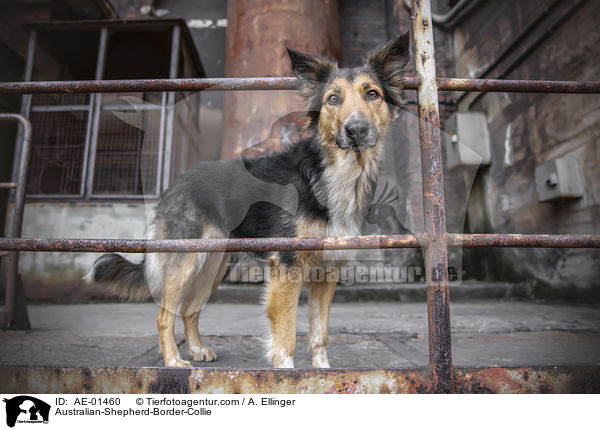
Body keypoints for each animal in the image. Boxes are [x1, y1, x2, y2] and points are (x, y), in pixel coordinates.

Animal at [91, 33, 410, 368]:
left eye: (372, 94)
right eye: (333, 99)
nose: (356, 130)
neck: (334, 172)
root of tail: (176, 182)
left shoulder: (328, 271)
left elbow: (319, 335)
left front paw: (323, 372)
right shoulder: (286, 266)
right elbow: (285, 337)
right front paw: (287, 371)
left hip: (213, 267)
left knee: (190, 310)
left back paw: (197, 350)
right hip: (184, 261)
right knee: (164, 316)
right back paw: (175, 361)